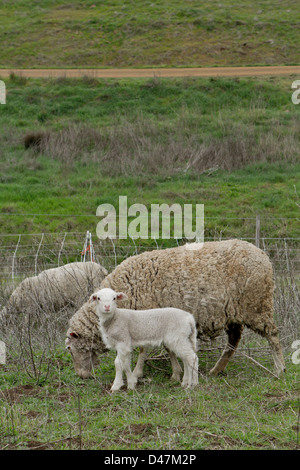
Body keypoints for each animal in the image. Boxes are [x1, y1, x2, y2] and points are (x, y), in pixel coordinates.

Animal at [66, 241, 286, 380]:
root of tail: (263, 255)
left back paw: (279, 369)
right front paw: (176, 372)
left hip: (257, 305)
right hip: (234, 312)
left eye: (69, 348)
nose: (81, 376)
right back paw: (216, 370)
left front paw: (137, 373)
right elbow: (168, 348)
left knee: (272, 335)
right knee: (233, 341)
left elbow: (144, 350)